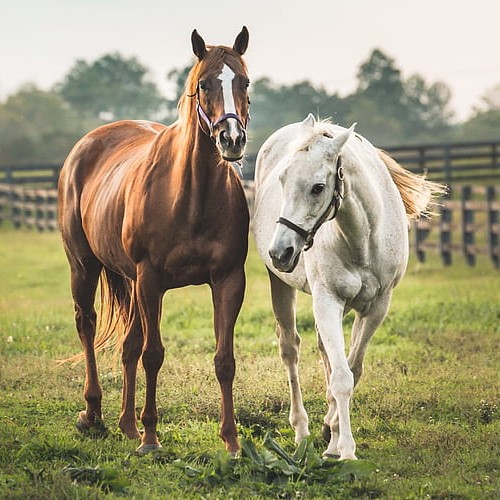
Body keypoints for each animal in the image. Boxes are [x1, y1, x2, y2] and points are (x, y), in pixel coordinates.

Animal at [58, 29, 250, 456]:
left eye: (244, 83)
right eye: (204, 84)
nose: (231, 139)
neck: (191, 195)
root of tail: (86, 144)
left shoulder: (228, 280)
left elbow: (224, 359)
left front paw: (231, 441)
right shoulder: (151, 280)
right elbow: (153, 355)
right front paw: (150, 437)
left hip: (131, 282)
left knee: (128, 344)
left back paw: (126, 425)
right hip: (85, 267)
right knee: (87, 325)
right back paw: (93, 414)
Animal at [252, 115, 444, 458]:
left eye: (318, 187)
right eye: (282, 179)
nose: (280, 252)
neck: (362, 239)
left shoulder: (376, 308)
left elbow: (351, 370)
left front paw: (334, 434)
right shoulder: (328, 300)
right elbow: (342, 376)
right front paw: (346, 450)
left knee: (325, 353)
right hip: (282, 286)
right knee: (290, 349)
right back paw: (302, 430)